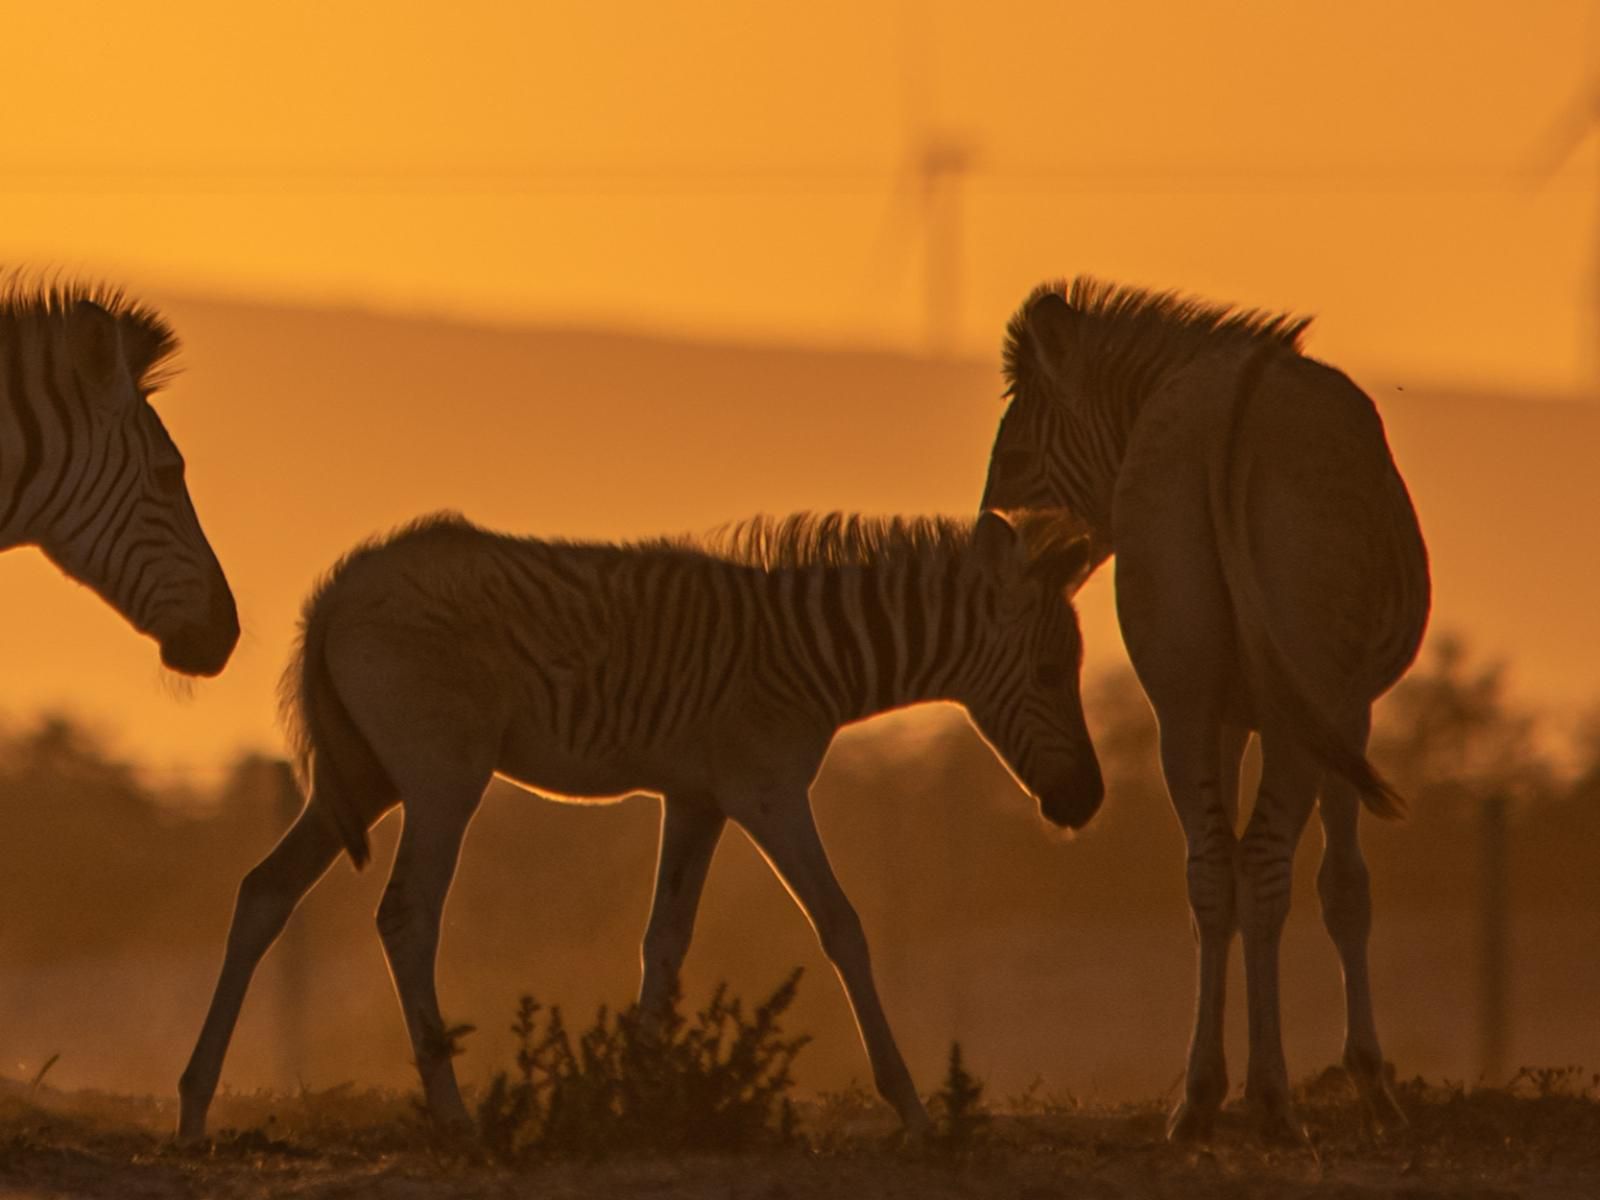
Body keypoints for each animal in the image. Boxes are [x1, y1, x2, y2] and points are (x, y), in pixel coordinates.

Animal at [175, 508, 1100, 1145]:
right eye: (1053, 671)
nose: (1087, 802)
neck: (812, 657)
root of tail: (336, 591)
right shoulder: (766, 790)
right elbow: (842, 925)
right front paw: (914, 1110)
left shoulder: (696, 799)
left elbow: (665, 941)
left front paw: (638, 1102)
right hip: (440, 780)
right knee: (405, 915)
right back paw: (455, 1118)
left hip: (363, 779)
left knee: (264, 892)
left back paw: (193, 1105)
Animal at [979, 280, 1433, 1145]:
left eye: (1013, 461)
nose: (990, 559)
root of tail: (1229, 410)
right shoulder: (1345, 711)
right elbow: (1343, 887)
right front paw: (1371, 1084)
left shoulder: (1220, 709)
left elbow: (1220, 890)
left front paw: (1215, 1086)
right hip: (1301, 705)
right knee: (1266, 864)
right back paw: (1274, 1100)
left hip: (1182, 700)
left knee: (1212, 868)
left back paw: (1197, 1099)